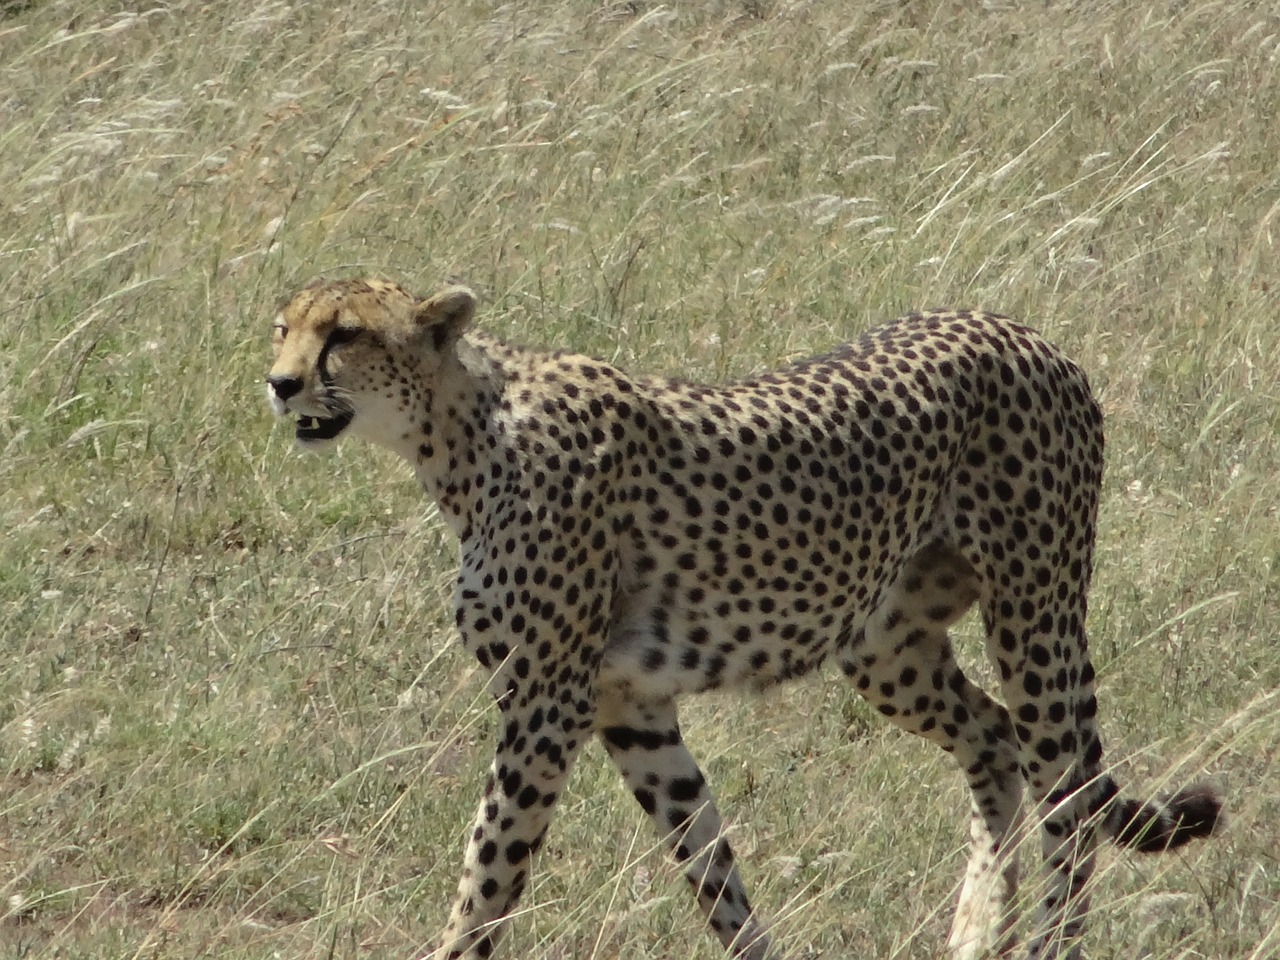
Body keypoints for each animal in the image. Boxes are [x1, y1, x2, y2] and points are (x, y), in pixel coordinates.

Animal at [267, 277, 1218, 960]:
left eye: (343, 335)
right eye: (283, 328)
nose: (279, 384)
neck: (460, 436)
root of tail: (1024, 331)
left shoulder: (547, 705)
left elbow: (490, 870)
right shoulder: (629, 706)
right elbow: (709, 865)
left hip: (1035, 611)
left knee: (1070, 798)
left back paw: (1046, 942)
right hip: (885, 642)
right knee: (994, 738)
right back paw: (978, 931)